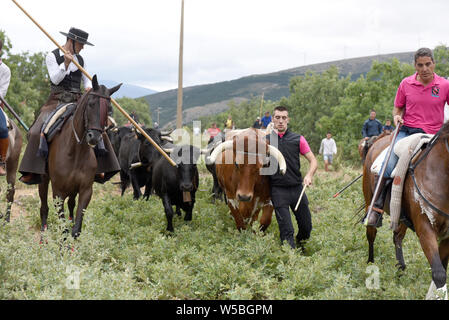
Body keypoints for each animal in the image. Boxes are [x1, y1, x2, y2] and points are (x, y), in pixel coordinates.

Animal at [39, 75, 121, 238]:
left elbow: (76, 229)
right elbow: (63, 229)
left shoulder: (85, 190)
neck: (75, 151)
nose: (94, 137)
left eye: (109, 109)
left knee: (71, 205)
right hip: (43, 180)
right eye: (91, 104)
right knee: (44, 207)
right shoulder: (58, 193)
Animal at [360, 123, 449, 300]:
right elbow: (439, 273)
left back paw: (400, 269)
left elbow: (441, 269)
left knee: (397, 237)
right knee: (371, 234)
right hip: (369, 201)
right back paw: (371, 266)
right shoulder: (425, 228)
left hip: (401, 216)